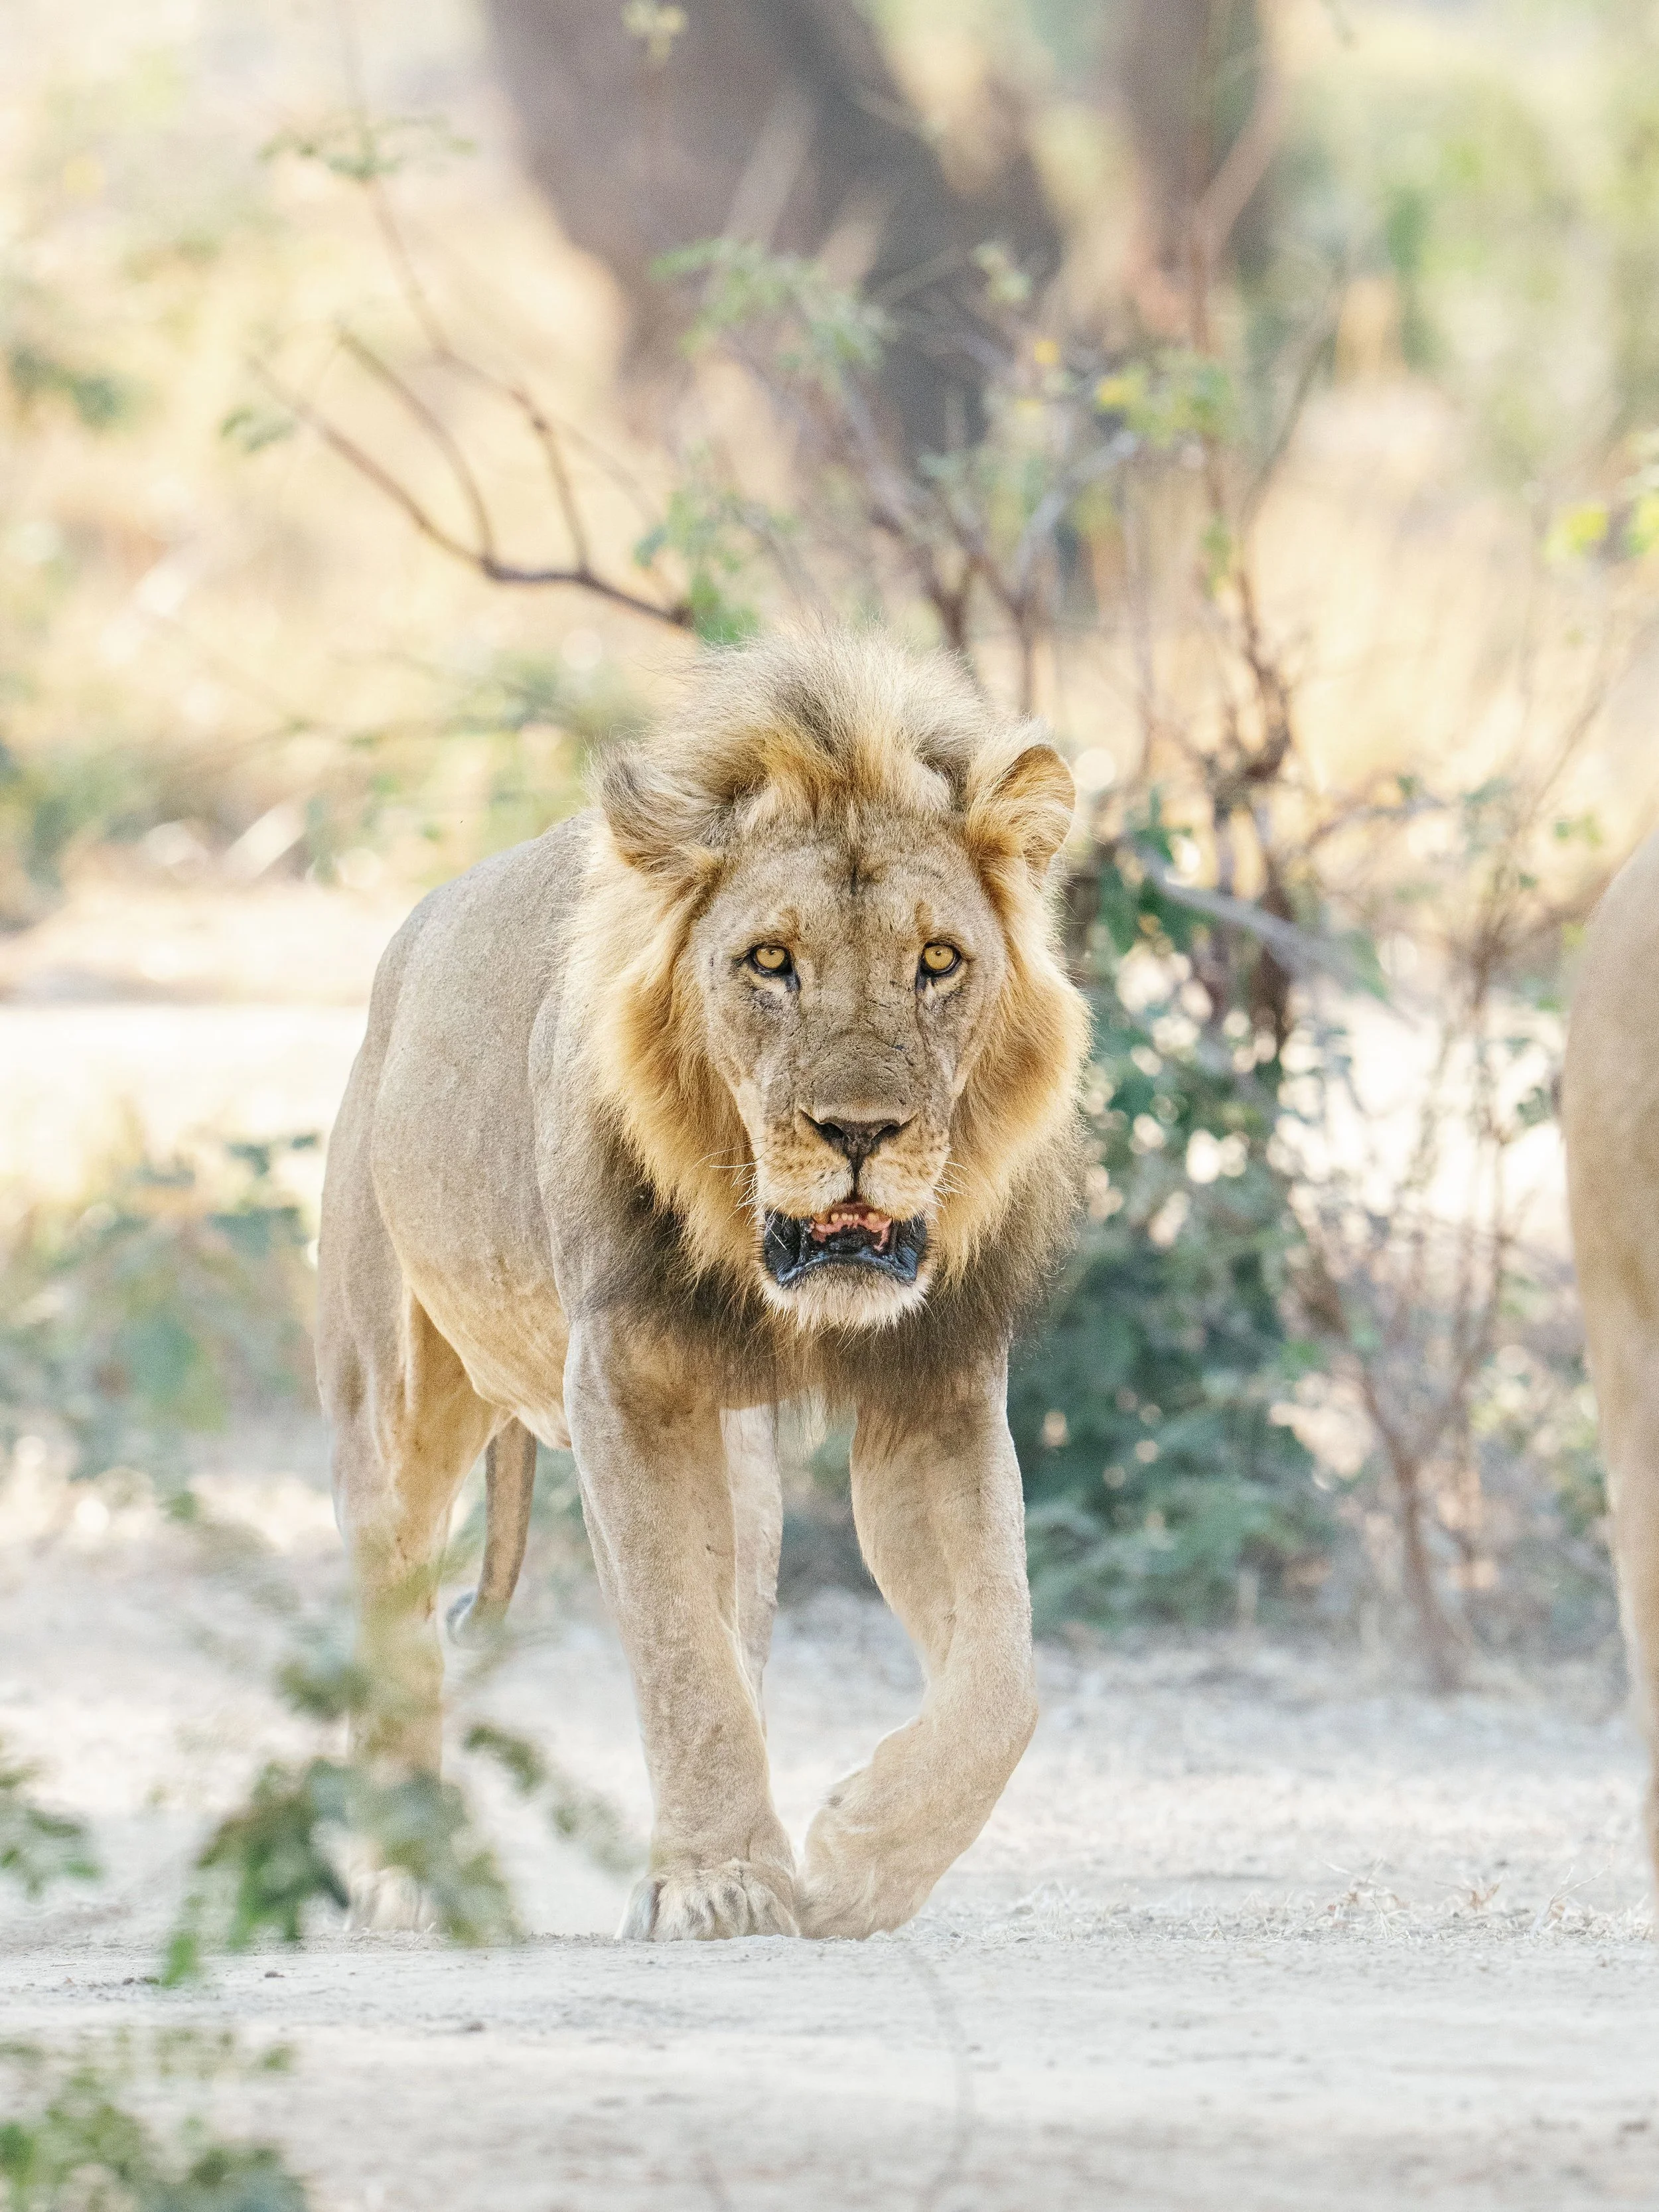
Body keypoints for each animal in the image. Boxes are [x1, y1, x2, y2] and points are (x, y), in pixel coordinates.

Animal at [316, 625, 1088, 1940]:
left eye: (938, 961)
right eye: (770, 962)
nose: (860, 1130)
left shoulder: (934, 1392)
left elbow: (1002, 1680)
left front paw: (855, 1858)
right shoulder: (625, 1386)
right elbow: (680, 1652)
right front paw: (721, 1879)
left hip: (743, 1463)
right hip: (396, 1409)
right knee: (401, 1630)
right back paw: (402, 1879)